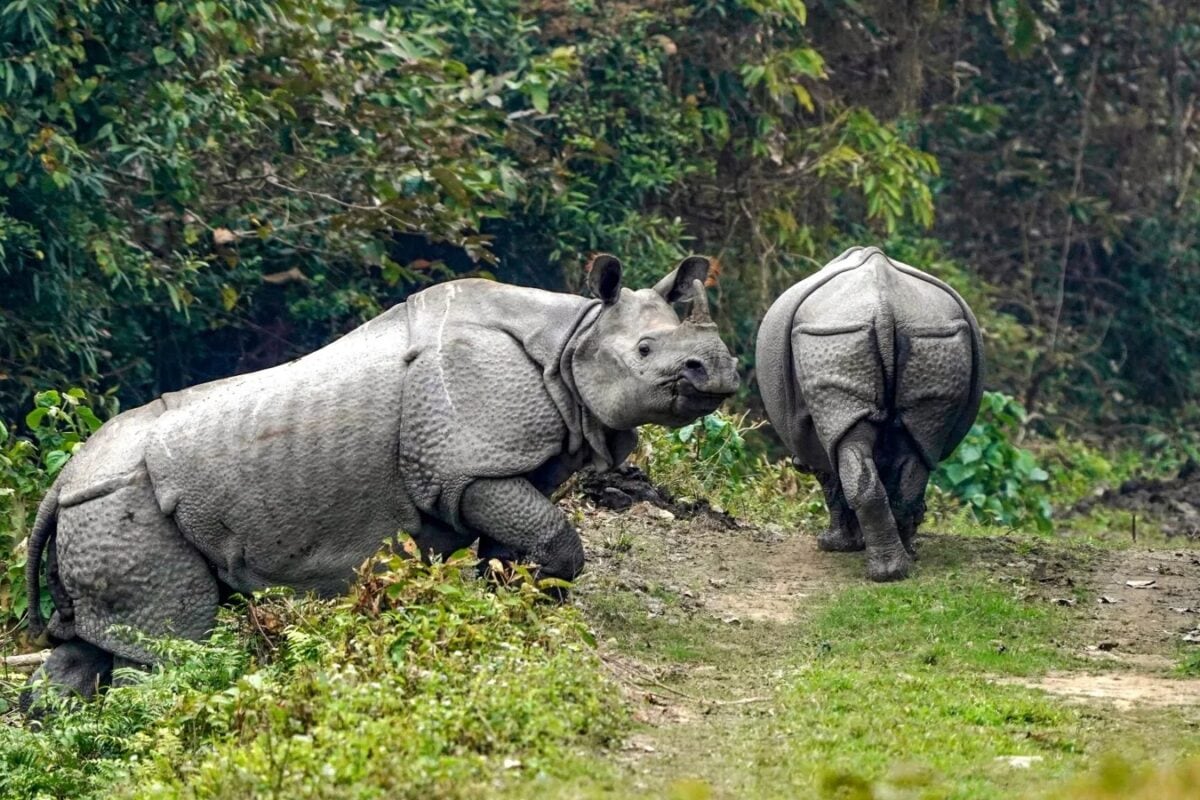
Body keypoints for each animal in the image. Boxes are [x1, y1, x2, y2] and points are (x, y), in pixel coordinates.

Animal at [21, 255, 738, 712]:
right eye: (644, 352)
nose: (721, 371)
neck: (573, 337)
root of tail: (58, 484)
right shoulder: (466, 466)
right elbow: (556, 540)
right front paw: (529, 608)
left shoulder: (498, 465)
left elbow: (520, 547)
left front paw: (506, 610)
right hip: (119, 501)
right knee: (166, 649)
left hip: (97, 510)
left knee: (97, 644)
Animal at [756, 246, 983, 581]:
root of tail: (884, 305)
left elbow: (832, 484)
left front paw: (834, 545)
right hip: (929, 338)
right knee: (916, 444)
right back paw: (900, 565)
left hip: (832, 336)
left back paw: (884, 570)